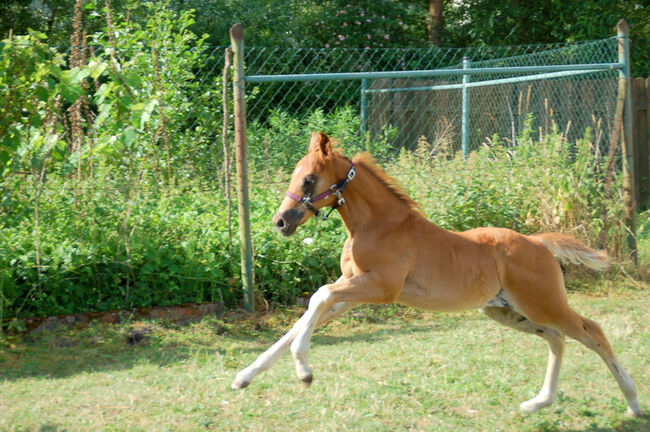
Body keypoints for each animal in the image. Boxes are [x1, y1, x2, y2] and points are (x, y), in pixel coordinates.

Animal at [230, 132, 640, 418]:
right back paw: (538, 402)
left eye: (309, 180)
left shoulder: (380, 288)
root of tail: (538, 243)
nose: (281, 221)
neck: (379, 225)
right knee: (557, 339)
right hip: (507, 311)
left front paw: (304, 371)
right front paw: (245, 376)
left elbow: (317, 295)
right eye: (296, 176)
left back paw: (633, 403)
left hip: (543, 303)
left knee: (591, 331)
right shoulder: (349, 293)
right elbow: (303, 319)